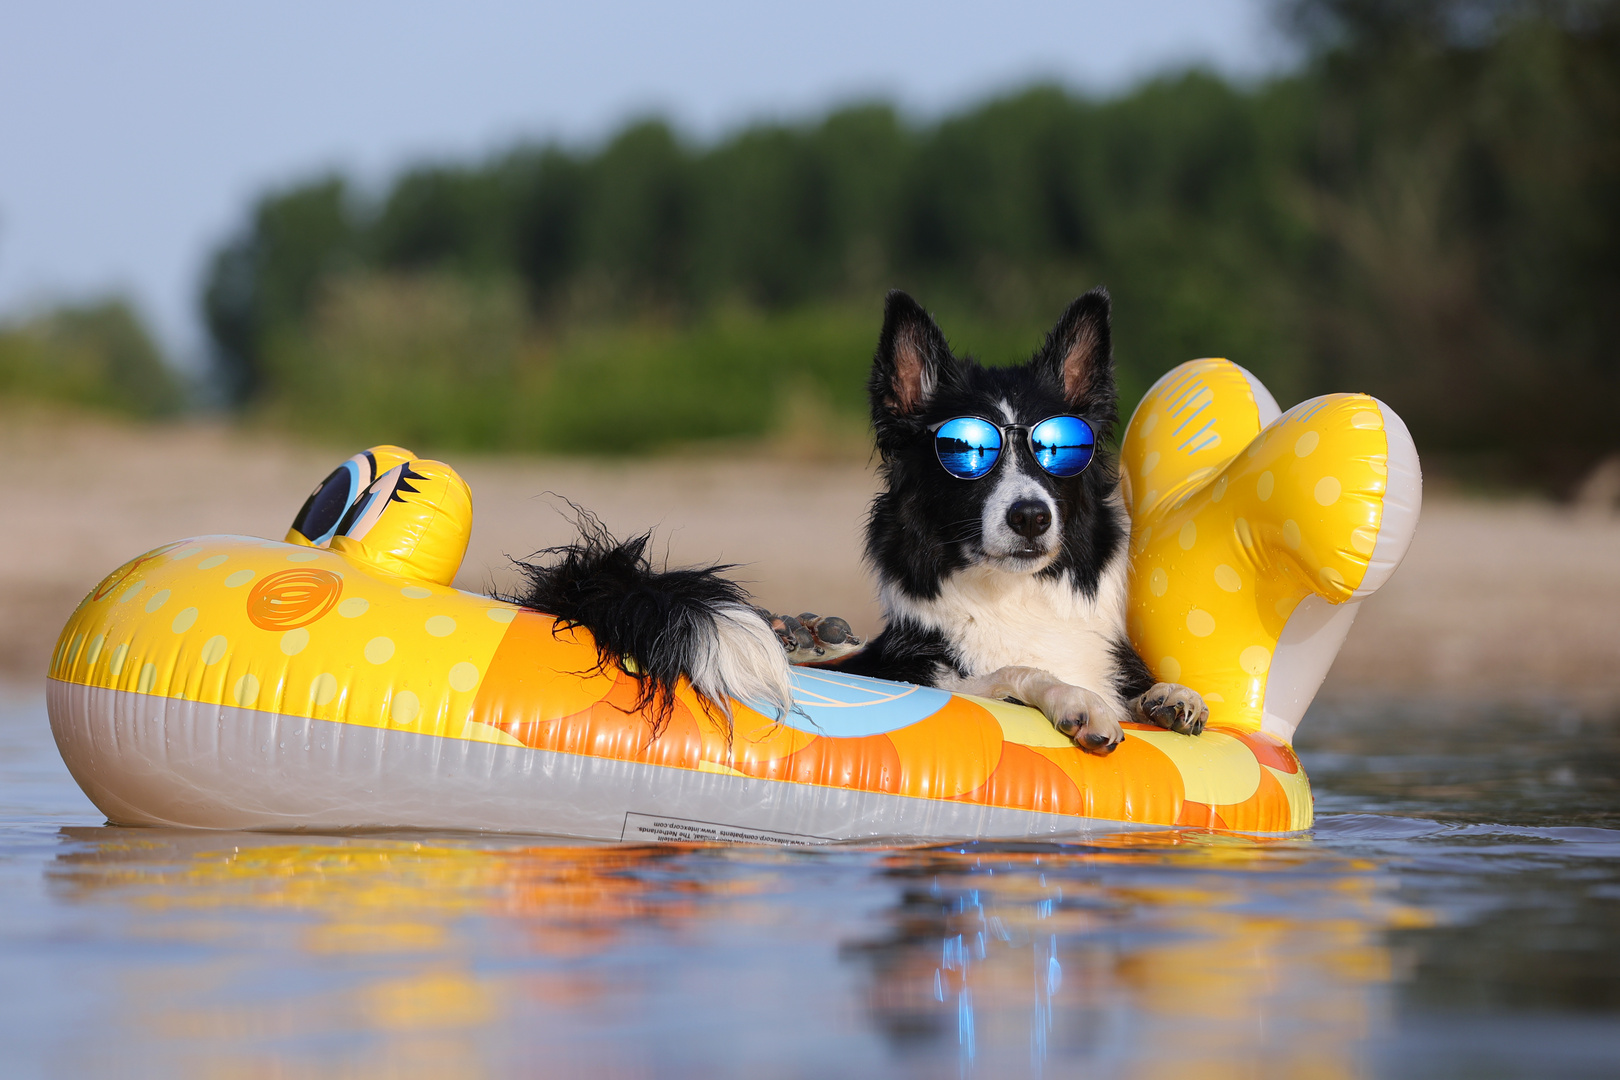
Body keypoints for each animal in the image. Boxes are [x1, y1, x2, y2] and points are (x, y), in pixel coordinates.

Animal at [505, 291, 1205, 757]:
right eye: (966, 453)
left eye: (1059, 449)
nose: (1031, 516)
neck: (1014, 598)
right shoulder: (907, 670)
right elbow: (1014, 673)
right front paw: (1075, 700)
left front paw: (1167, 697)